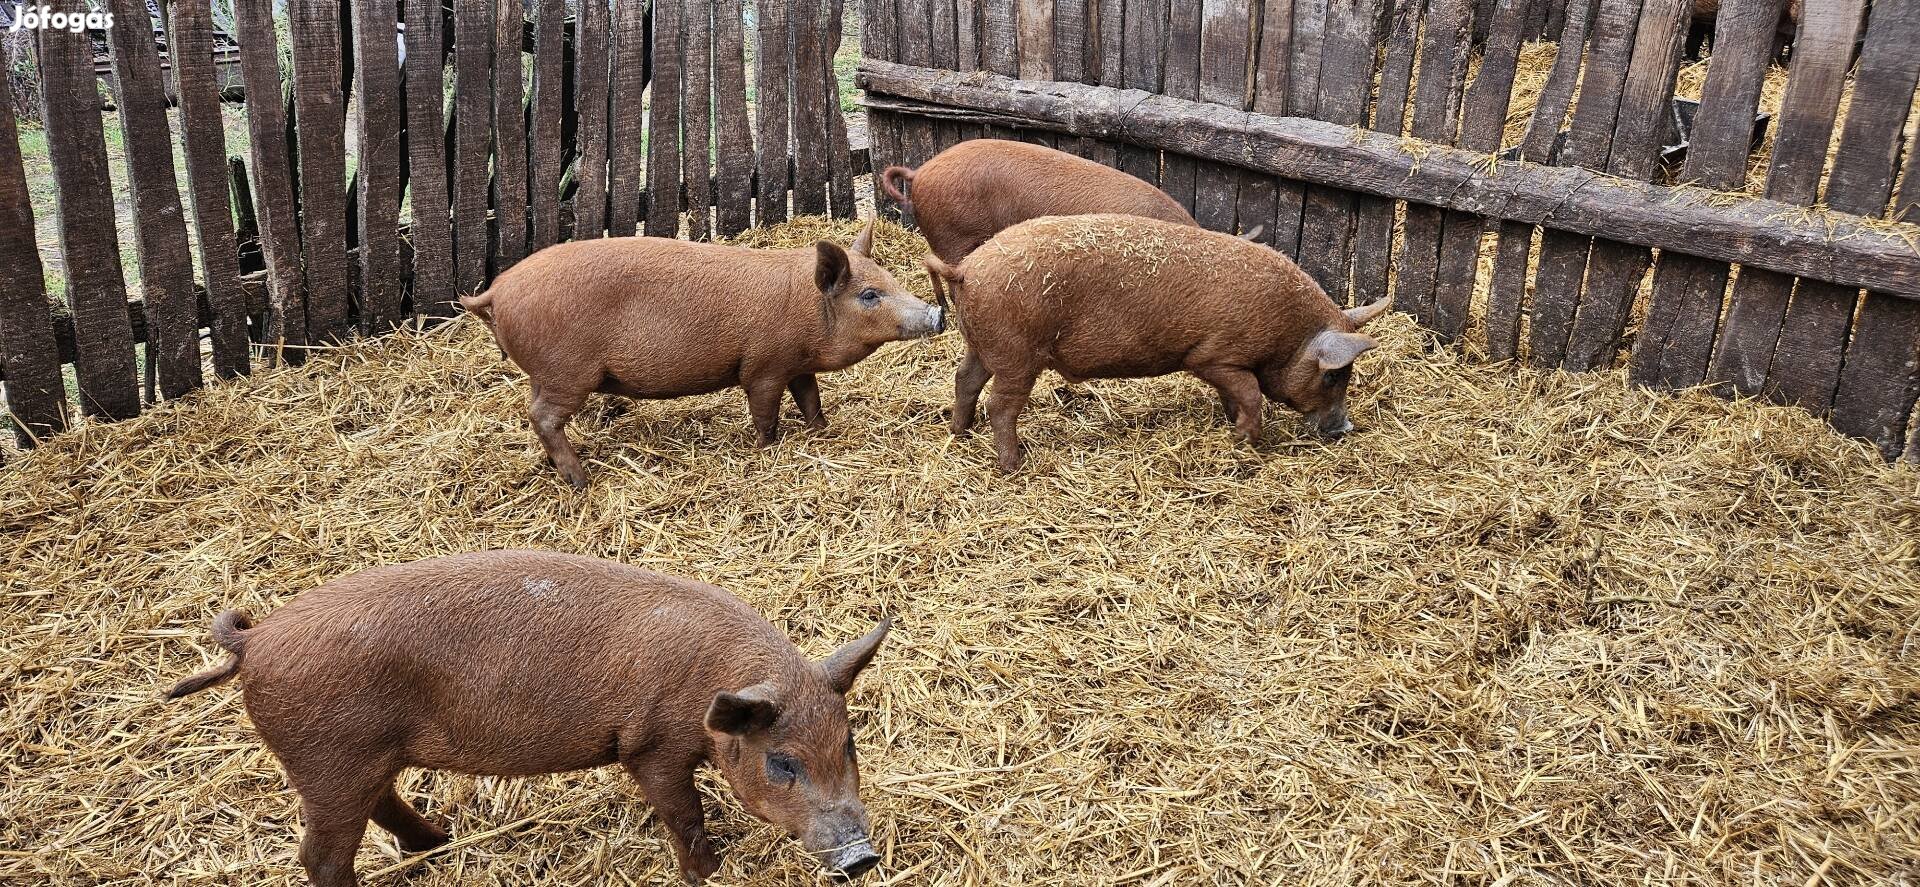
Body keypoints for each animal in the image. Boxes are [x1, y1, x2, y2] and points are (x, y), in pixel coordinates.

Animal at [161, 549, 894, 883]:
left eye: (850, 743)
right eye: (782, 762)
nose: (860, 856)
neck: (711, 686)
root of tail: (254, 642)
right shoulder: (648, 745)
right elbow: (682, 811)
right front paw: (705, 872)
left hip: (358, 762)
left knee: (382, 805)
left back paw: (439, 841)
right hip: (326, 763)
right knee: (318, 854)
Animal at [464, 218, 944, 487]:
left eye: (890, 278)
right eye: (869, 295)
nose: (937, 313)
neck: (809, 308)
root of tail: (497, 291)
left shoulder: (796, 365)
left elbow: (811, 399)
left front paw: (821, 432)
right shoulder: (763, 367)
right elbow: (765, 412)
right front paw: (765, 449)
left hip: (544, 373)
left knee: (534, 411)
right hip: (567, 371)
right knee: (542, 416)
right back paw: (580, 480)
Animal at [921, 214, 1390, 474]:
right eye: (1333, 378)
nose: (1344, 428)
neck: (1289, 334)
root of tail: (965, 268)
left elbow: (1237, 397)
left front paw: (1231, 426)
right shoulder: (1213, 355)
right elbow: (1251, 394)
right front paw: (1247, 441)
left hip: (984, 345)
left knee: (964, 379)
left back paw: (960, 432)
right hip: (1017, 352)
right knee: (1000, 405)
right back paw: (1015, 466)